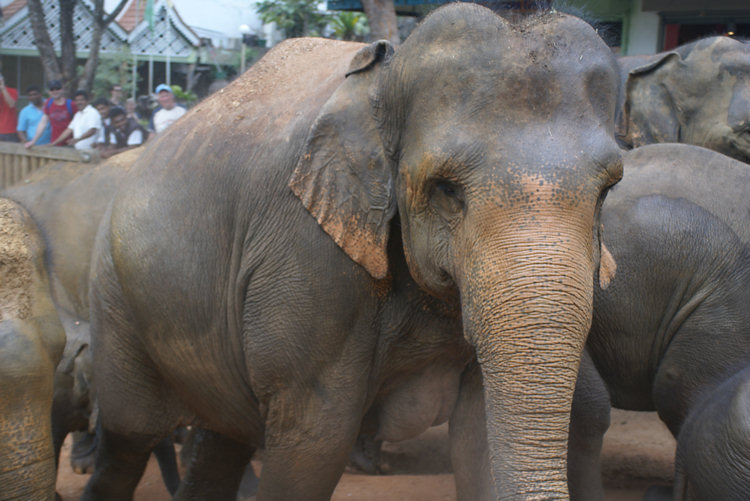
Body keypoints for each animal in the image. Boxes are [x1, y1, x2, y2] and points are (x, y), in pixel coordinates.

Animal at [81, 4, 624, 500]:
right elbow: (313, 441)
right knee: (130, 436)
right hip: (115, 295)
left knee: (222, 442)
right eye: (447, 190)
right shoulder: (305, 255)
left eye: (607, 191)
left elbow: (479, 438)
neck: (384, 78)